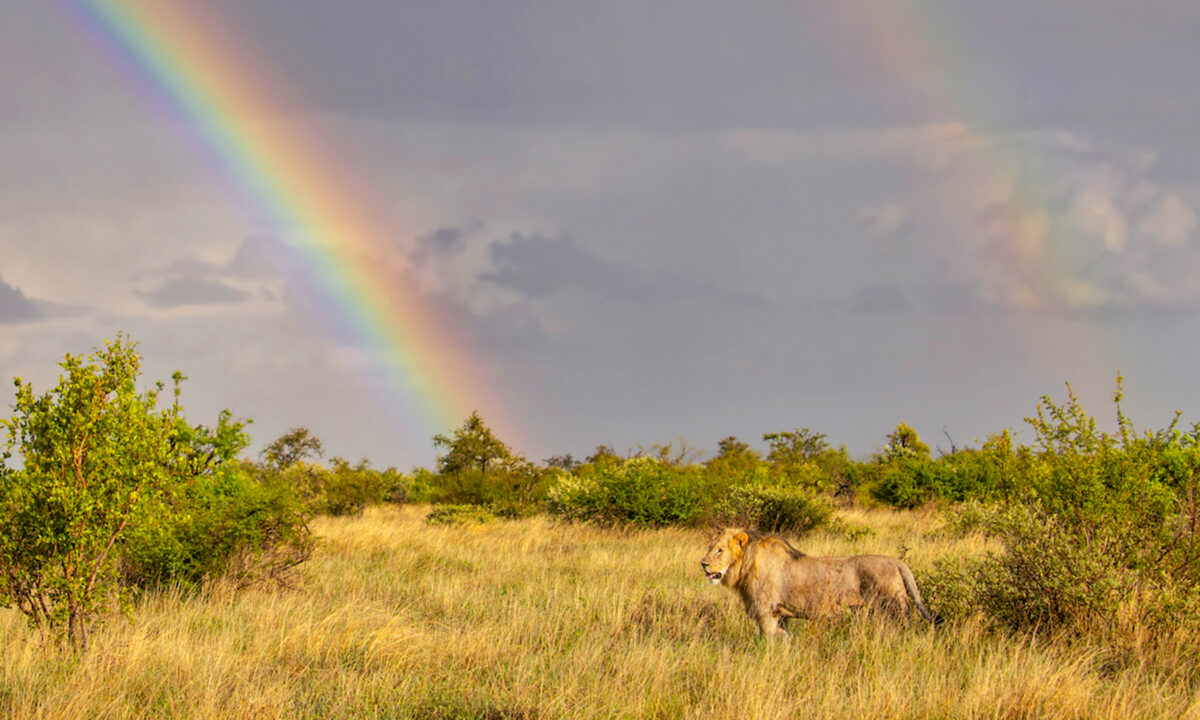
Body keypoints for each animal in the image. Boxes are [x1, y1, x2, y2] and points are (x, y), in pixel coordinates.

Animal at [700, 527, 934, 637]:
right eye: (710, 547)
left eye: (719, 550)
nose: (703, 564)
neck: (745, 565)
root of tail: (896, 561)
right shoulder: (781, 615)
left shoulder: (766, 612)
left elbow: (765, 643)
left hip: (894, 610)